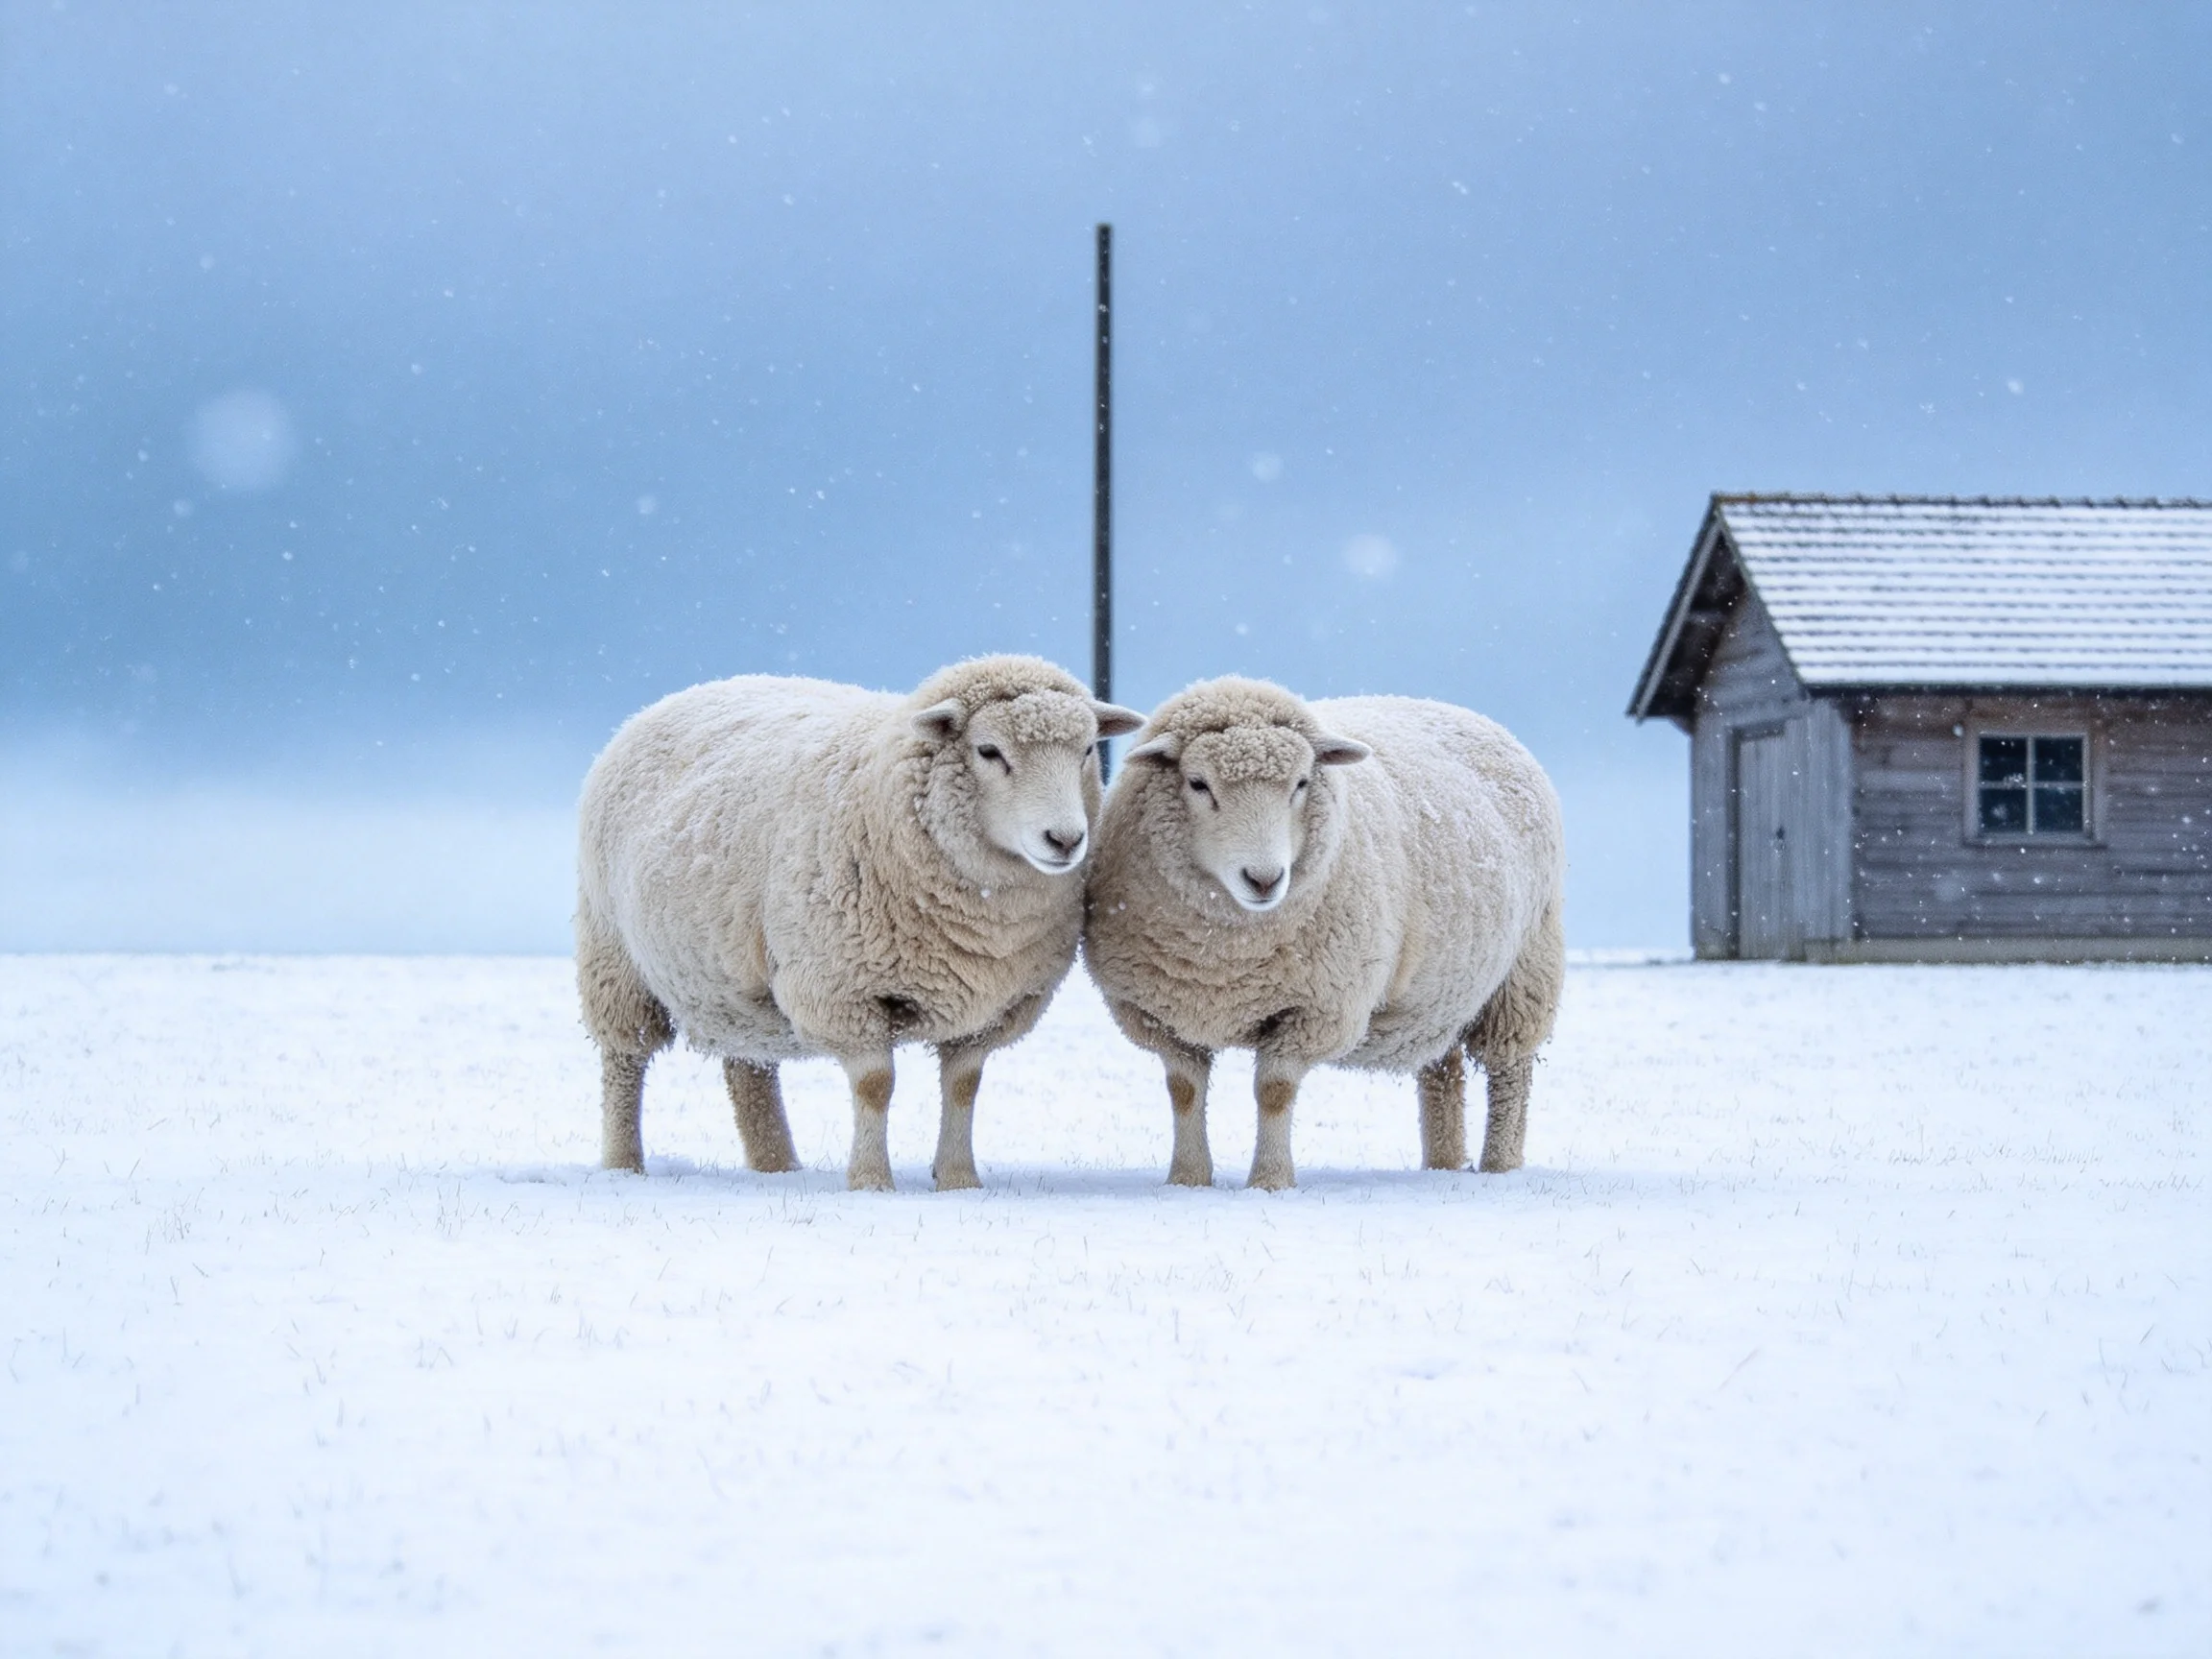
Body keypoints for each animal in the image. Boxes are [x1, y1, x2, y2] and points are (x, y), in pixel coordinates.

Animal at [577, 655, 1144, 1191]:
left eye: (1087, 751)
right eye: (988, 751)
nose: (1065, 840)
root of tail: (678, 696)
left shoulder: (992, 1007)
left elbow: (963, 1087)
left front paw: (959, 1180)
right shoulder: (843, 992)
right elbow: (875, 1086)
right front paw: (871, 1181)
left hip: (732, 988)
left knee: (749, 1069)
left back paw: (777, 1167)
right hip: (614, 958)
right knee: (624, 1062)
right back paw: (624, 1165)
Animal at [1082, 677, 1564, 1190]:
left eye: (1301, 783)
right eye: (1197, 783)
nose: (1265, 879)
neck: (1225, 956)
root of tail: (1472, 716)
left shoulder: (1315, 1010)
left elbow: (1273, 1091)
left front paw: (1270, 1180)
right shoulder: (1159, 1013)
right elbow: (1184, 1092)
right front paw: (1188, 1179)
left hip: (1524, 974)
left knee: (1509, 1075)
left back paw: (1499, 1166)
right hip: (1439, 996)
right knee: (1442, 1072)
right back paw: (1443, 1163)